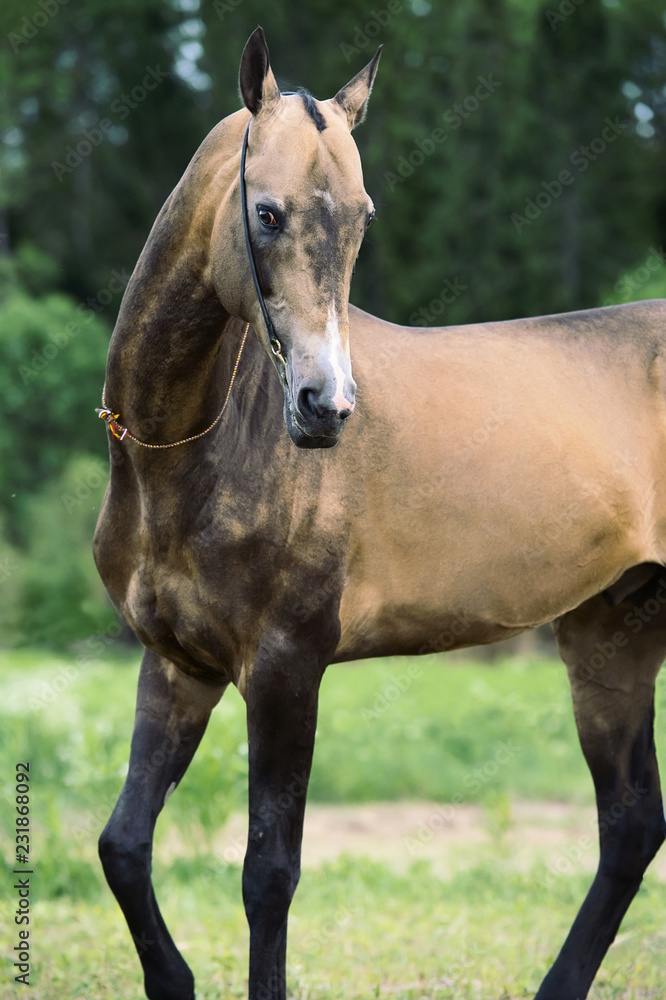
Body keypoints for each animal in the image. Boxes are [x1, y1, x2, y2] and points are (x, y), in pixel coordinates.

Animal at [94, 25, 666, 1000]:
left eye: (363, 215)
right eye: (267, 214)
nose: (326, 407)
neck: (185, 452)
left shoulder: (286, 667)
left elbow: (268, 875)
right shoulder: (177, 665)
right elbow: (124, 848)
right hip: (611, 635)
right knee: (630, 829)